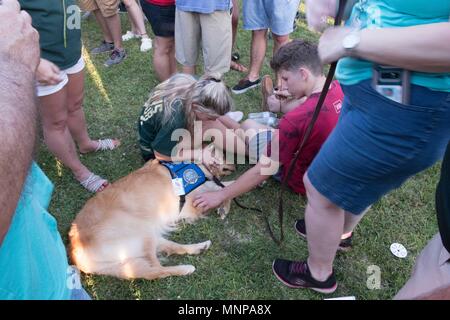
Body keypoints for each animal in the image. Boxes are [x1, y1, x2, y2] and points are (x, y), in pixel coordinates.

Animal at [69, 159, 236, 278]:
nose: (235, 166)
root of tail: (77, 253)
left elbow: (228, 186)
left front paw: (225, 203)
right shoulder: (192, 203)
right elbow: (221, 190)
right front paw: (224, 205)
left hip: (144, 235)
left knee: (173, 248)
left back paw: (200, 247)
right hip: (140, 231)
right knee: (155, 271)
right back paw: (186, 268)